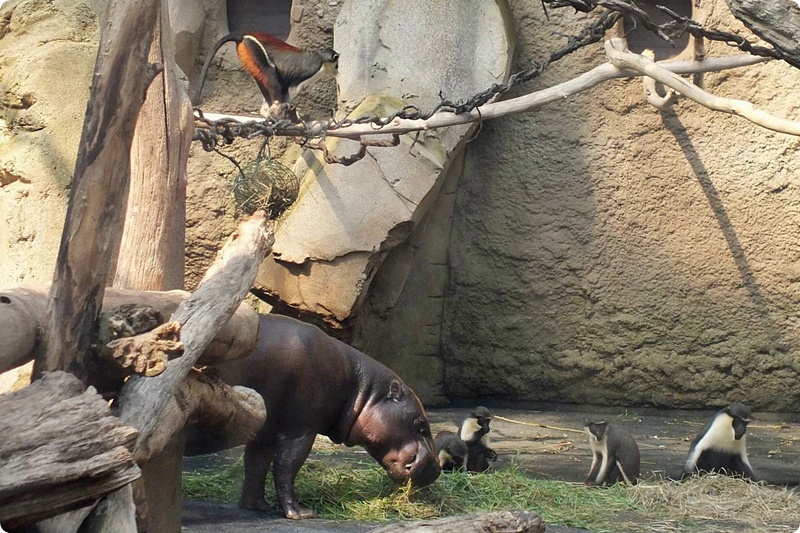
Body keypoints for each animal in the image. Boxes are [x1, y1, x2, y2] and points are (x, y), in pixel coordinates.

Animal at [190, 313, 440, 519]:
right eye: (420, 424)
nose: (437, 468)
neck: (360, 389)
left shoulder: (265, 432)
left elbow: (256, 466)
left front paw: (260, 507)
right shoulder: (300, 429)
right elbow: (286, 465)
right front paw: (301, 513)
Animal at [193, 31, 339, 117]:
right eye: (336, 64)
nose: (337, 70)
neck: (322, 59)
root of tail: (243, 35)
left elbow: (284, 86)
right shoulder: (312, 68)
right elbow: (289, 88)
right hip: (254, 47)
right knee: (270, 72)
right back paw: (275, 110)